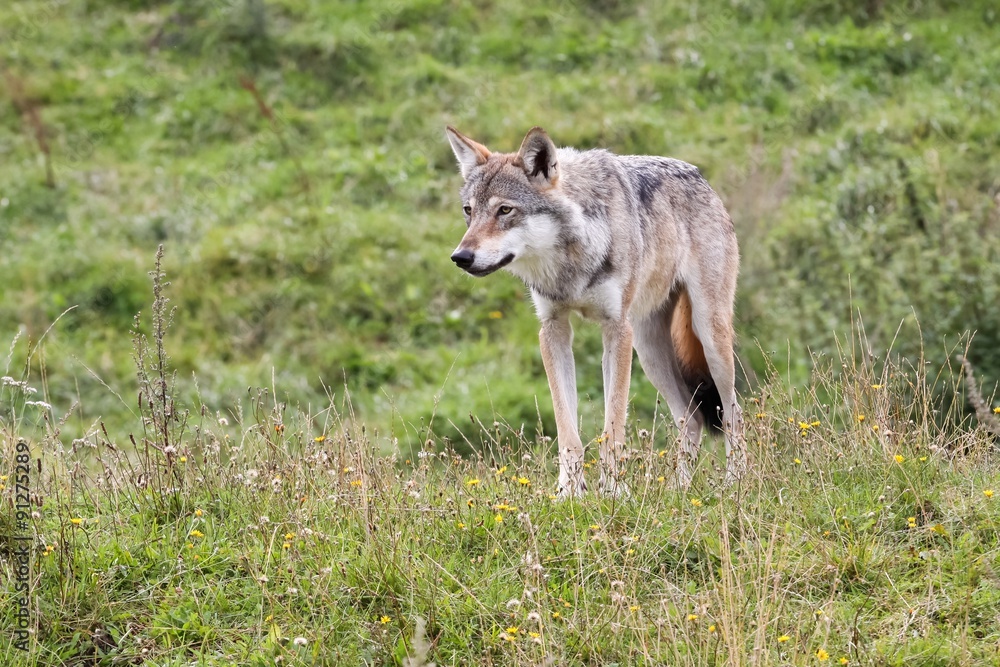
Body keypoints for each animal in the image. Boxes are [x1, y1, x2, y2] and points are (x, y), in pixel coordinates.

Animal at [450, 128, 748, 498]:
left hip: (708, 337)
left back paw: (734, 484)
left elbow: (613, 426)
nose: (460, 257)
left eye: (505, 210)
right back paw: (679, 491)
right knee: (691, 418)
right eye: (469, 211)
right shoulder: (553, 330)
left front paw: (614, 492)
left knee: (734, 414)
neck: (572, 259)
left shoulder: (615, 329)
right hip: (649, 353)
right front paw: (567, 493)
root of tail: (699, 175)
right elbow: (567, 430)